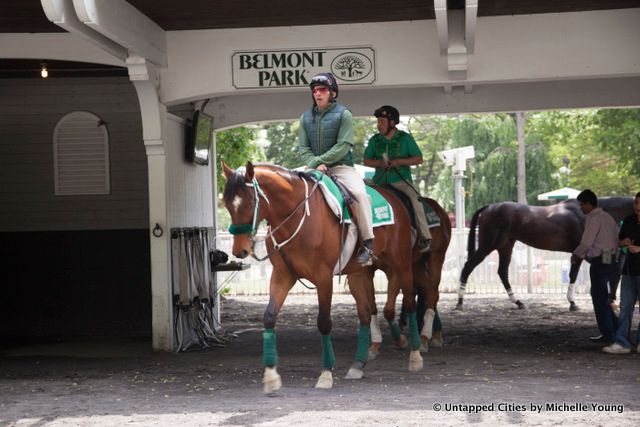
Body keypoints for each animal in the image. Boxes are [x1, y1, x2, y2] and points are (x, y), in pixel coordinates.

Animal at [222, 163, 428, 394]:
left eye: (249, 203)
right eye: (228, 205)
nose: (240, 250)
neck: (297, 216)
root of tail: (393, 197)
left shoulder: (323, 278)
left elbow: (324, 322)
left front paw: (326, 373)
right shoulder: (282, 275)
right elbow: (269, 317)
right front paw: (271, 375)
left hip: (401, 265)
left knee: (409, 303)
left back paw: (415, 355)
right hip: (358, 275)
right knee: (365, 314)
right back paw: (358, 364)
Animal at [458, 196, 632, 310]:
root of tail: (489, 207)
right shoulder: (583, 252)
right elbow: (575, 275)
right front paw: (573, 303)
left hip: (505, 246)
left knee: (502, 272)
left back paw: (518, 302)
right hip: (488, 245)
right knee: (468, 266)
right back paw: (459, 302)